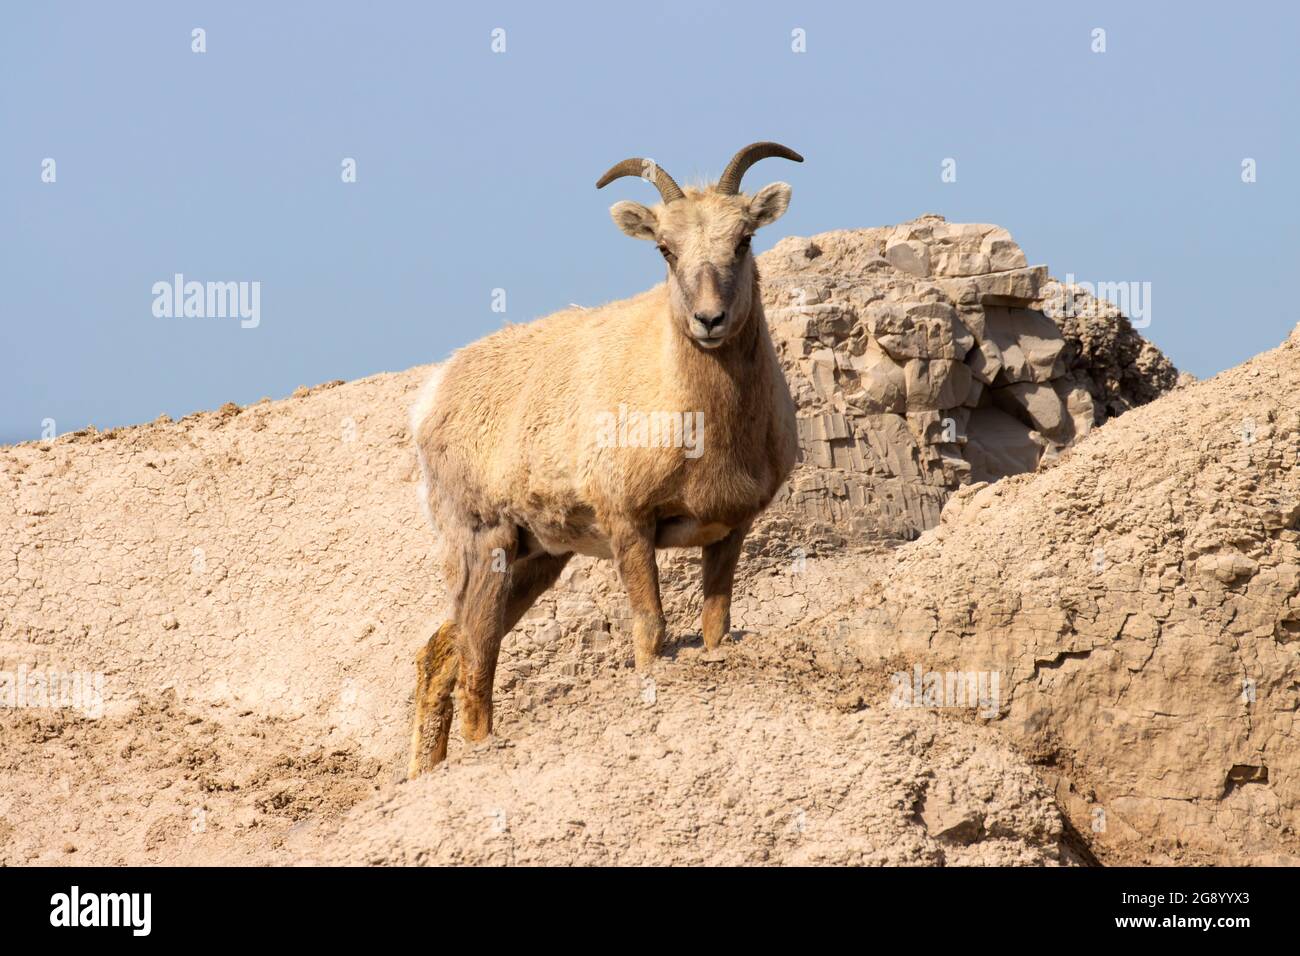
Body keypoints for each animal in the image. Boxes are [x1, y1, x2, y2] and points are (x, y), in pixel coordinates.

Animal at [408, 141, 800, 780]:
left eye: (744, 239)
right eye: (665, 248)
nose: (709, 321)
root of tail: (433, 395)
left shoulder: (729, 529)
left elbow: (715, 628)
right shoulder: (628, 526)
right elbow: (651, 630)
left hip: (538, 559)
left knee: (442, 654)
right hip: (487, 542)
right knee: (476, 655)